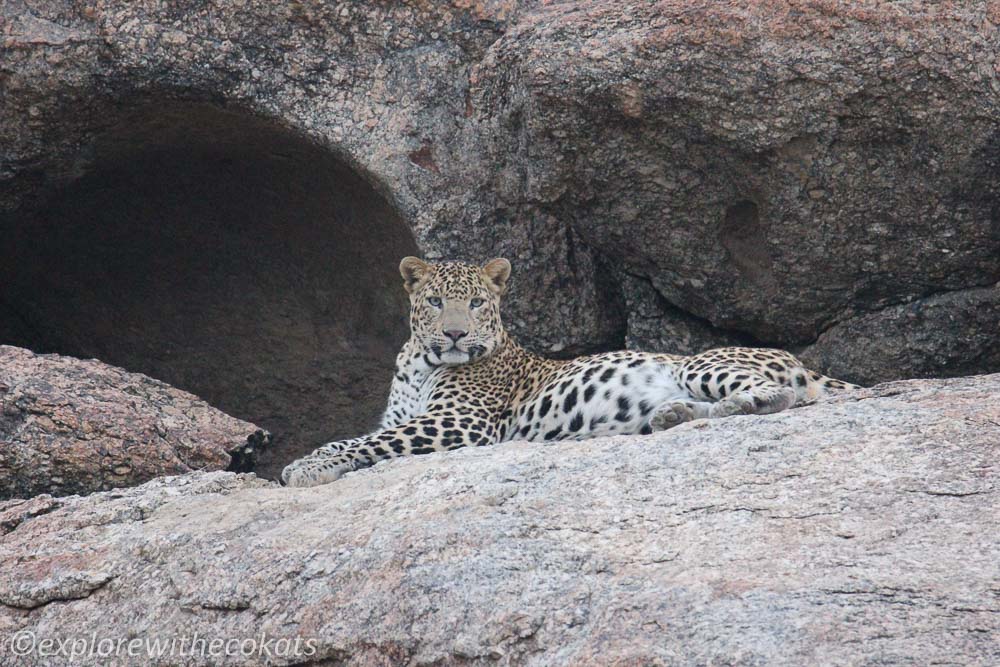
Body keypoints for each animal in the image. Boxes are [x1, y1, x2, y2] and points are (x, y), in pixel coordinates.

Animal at [282, 256, 860, 486]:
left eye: (476, 303)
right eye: (435, 301)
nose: (454, 335)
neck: (421, 362)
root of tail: (800, 359)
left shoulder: (460, 423)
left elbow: (360, 441)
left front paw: (305, 465)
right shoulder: (405, 419)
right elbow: (371, 438)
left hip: (703, 362)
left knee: (780, 397)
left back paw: (727, 404)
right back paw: (670, 416)